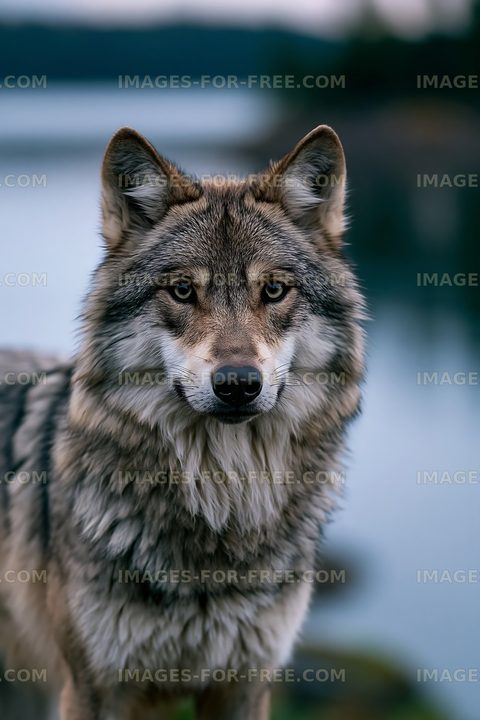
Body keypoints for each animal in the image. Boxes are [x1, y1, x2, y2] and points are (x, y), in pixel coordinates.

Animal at [0, 125, 365, 719]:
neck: (223, 496)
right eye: (182, 291)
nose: (237, 384)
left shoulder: (246, 684)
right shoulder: (92, 688)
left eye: (273, 290)